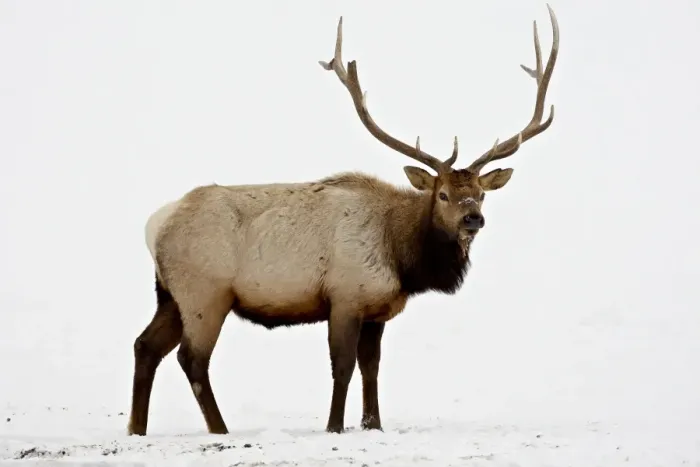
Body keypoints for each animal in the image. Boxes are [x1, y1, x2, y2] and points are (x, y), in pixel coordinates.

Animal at [127, 4, 559, 436]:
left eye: (482, 193)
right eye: (443, 195)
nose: (473, 219)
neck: (403, 258)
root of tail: (156, 225)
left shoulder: (377, 308)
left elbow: (372, 367)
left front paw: (373, 424)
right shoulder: (346, 296)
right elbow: (343, 367)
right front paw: (335, 426)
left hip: (170, 294)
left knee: (145, 345)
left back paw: (137, 428)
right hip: (205, 292)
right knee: (192, 358)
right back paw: (219, 429)